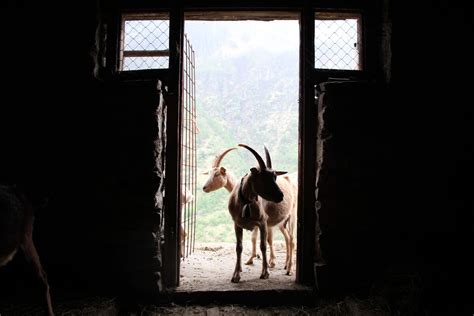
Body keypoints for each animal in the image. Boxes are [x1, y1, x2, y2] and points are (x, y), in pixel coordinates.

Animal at [227, 144, 288, 282]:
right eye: (263, 178)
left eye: (275, 177)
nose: (280, 196)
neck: (246, 202)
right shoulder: (236, 224)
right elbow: (239, 247)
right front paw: (236, 274)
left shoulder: (262, 222)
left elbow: (263, 245)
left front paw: (265, 272)